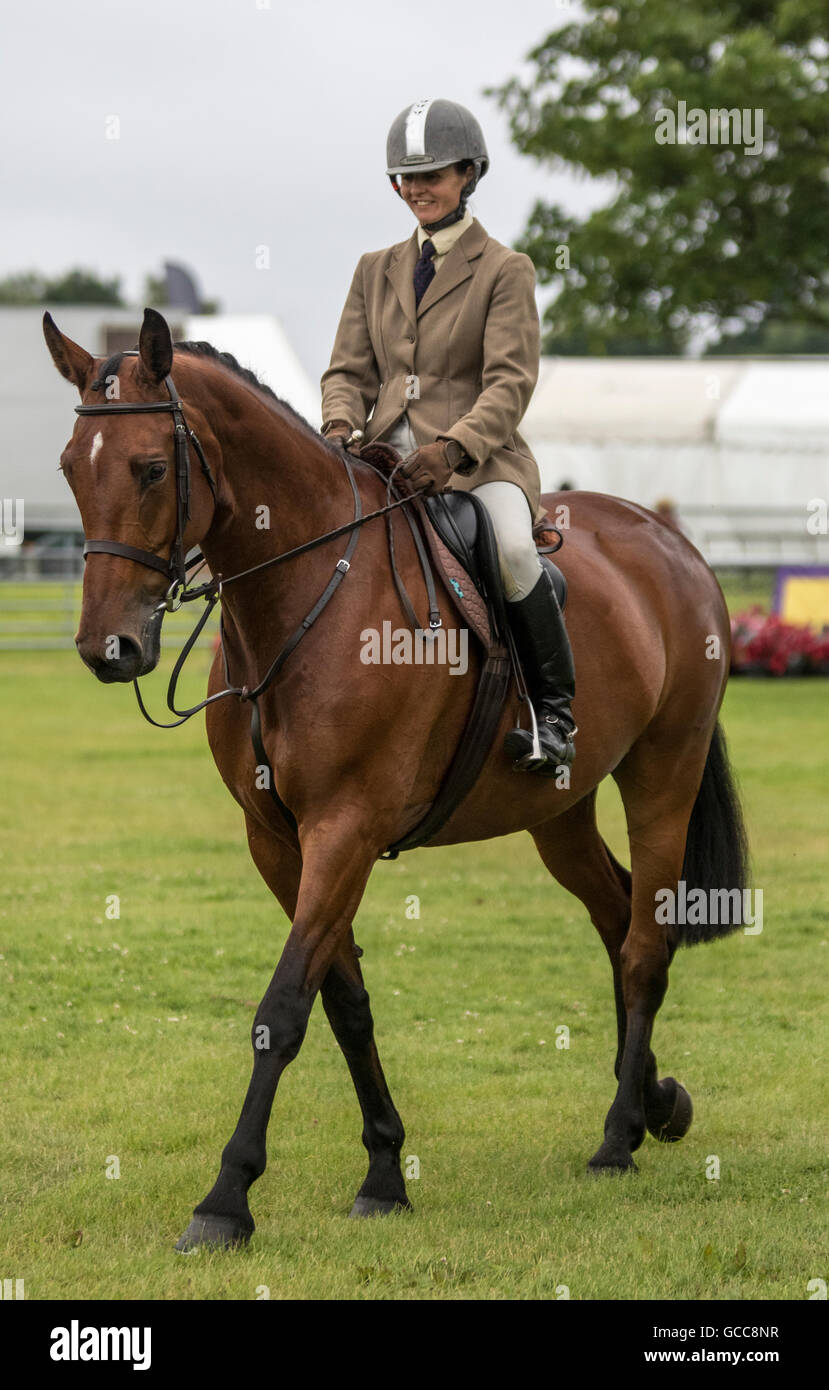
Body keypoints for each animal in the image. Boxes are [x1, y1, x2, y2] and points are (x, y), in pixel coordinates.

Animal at [42, 309, 745, 1256]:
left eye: (152, 468)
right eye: (69, 469)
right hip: (558, 810)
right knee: (617, 914)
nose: (107, 649)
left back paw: (615, 1140)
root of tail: (668, 540)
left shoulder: (346, 828)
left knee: (642, 944)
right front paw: (383, 1172)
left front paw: (225, 1199)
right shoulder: (279, 841)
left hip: (662, 771)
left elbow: (283, 1010)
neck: (307, 593)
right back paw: (652, 1105)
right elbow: (343, 1004)